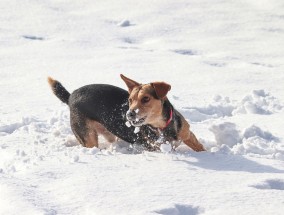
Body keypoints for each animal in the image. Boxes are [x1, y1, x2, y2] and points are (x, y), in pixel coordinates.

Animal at [47, 74, 205, 152]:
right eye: (130, 100)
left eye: (145, 99)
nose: (129, 114)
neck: (162, 126)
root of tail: (71, 96)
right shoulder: (156, 149)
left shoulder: (188, 135)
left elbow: (200, 148)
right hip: (88, 137)